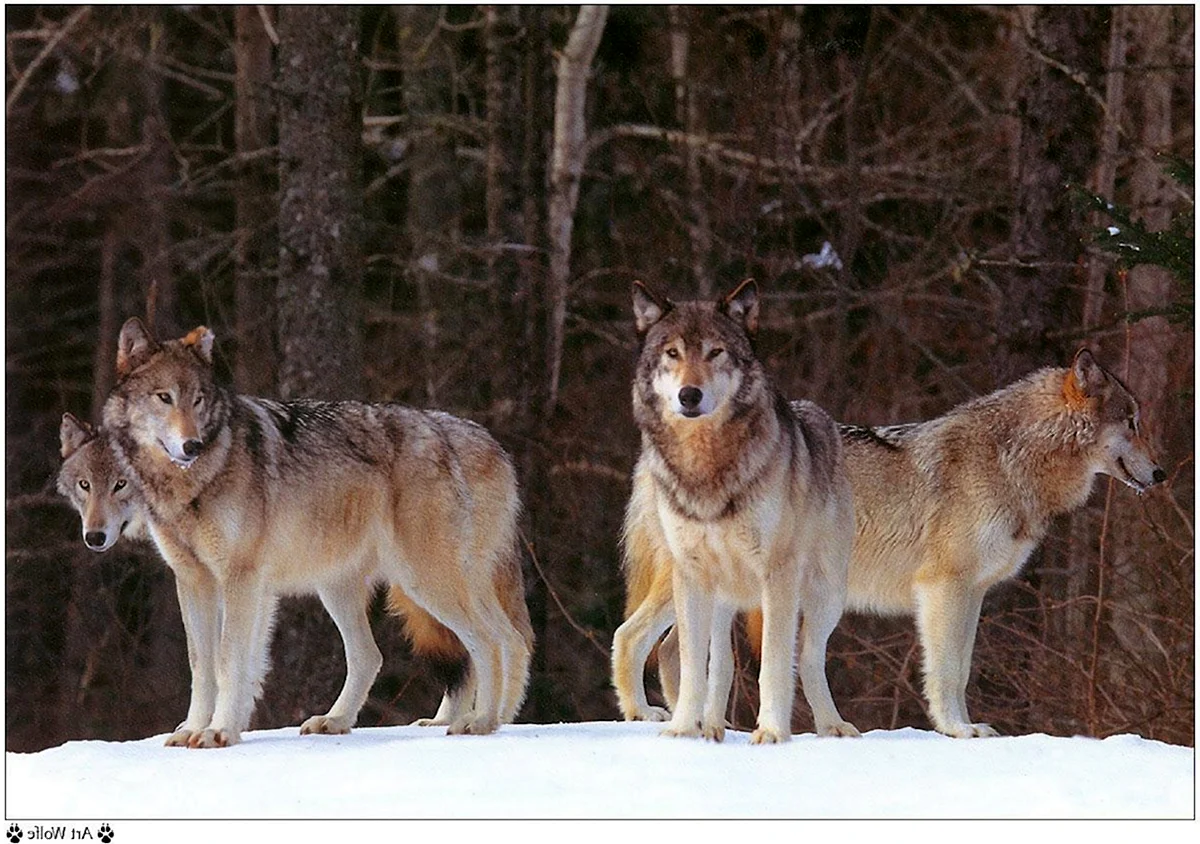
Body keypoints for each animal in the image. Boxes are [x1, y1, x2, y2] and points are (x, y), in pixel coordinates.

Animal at [103, 316, 535, 744]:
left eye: (198, 400)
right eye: (164, 397)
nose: (192, 445)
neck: (193, 482)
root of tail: (456, 434)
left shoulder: (241, 579)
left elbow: (228, 662)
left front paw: (219, 731)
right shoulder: (195, 581)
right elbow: (203, 665)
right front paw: (196, 729)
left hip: (424, 582)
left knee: (493, 640)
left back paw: (482, 722)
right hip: (348, 587)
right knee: (375, 655)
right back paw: (338, 720)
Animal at [609, 345, 1161, 734]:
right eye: (1132, 422)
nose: (1161, 473)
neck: (1011, 460)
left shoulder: (974, 593)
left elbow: (962, 666)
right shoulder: (944, 588)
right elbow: (947, 672)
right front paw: (958, 730)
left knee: (669, 648)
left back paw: (706, 722)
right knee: (631, 636)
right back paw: (645, 715)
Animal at [614, 280, 859, 744]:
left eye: (716, 352)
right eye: (672, 353)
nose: (689, 395)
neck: (707, 467)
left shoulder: (777, 576)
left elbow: (775, 665)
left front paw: (772, 732)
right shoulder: (692, 572)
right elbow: (698, 665)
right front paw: (682, 730)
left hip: (825, 591)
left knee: (810, 657)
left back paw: (831, 725)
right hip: (701, 588)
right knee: (646, 640)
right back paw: (675, 719)